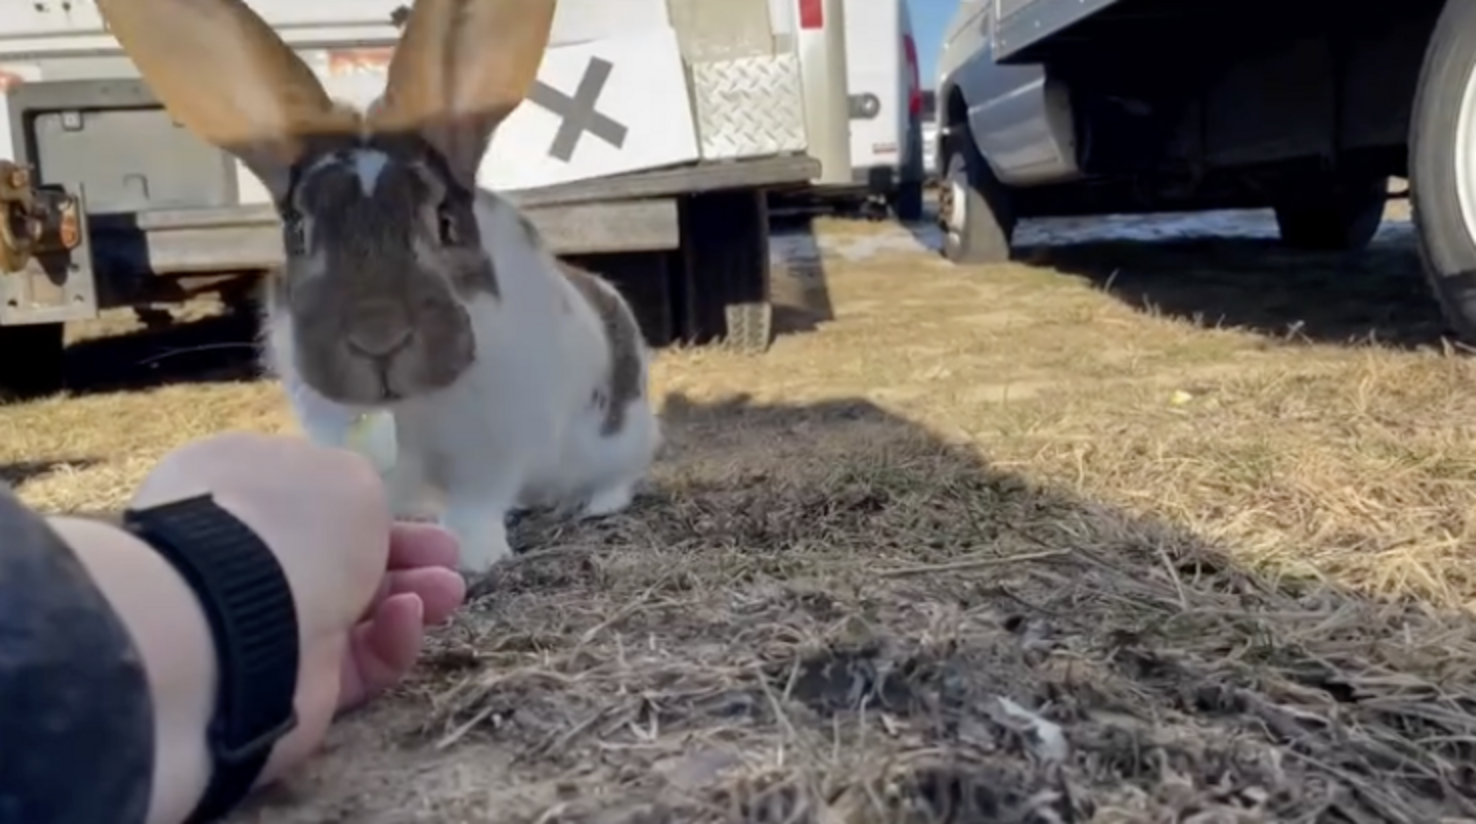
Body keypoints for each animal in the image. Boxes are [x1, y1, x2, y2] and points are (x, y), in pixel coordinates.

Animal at [98, 0, 662, 574]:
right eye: (296, 230)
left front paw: (474, 555)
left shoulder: (492, 450)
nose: (377, 336)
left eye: (445, 221)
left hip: (625, 436)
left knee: (618, 476)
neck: (408, 409)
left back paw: (593, 505)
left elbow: (476, 505)